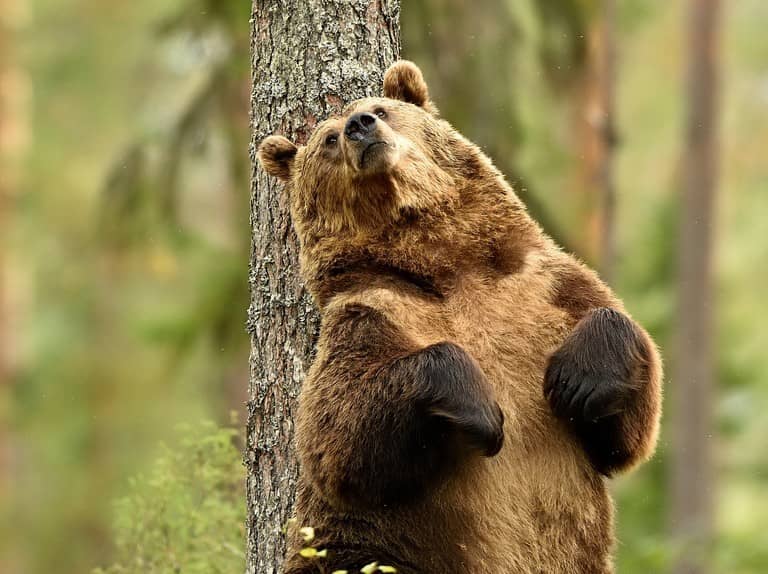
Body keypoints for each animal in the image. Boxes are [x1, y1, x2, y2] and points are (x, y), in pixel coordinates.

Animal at [256, 59, 660, 574]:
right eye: (327, 139)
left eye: (380, 108)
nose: (358, 126)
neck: (447, 267)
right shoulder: (372, 309)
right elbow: (336, 433)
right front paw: (483, 412)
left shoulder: (541, 286)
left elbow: (629, 421)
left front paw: (576, 381)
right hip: (368, 545)